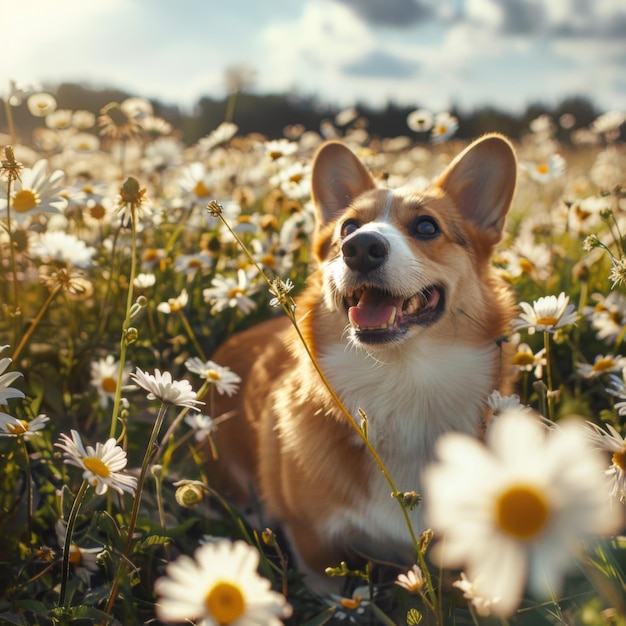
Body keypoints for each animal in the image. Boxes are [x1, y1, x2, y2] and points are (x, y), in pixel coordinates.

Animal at [210, 133, 516, 584]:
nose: (361, 248)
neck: (401, 379)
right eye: (348, 228)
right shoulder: (313, 545)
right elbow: (334, 590)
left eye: (427, 226)